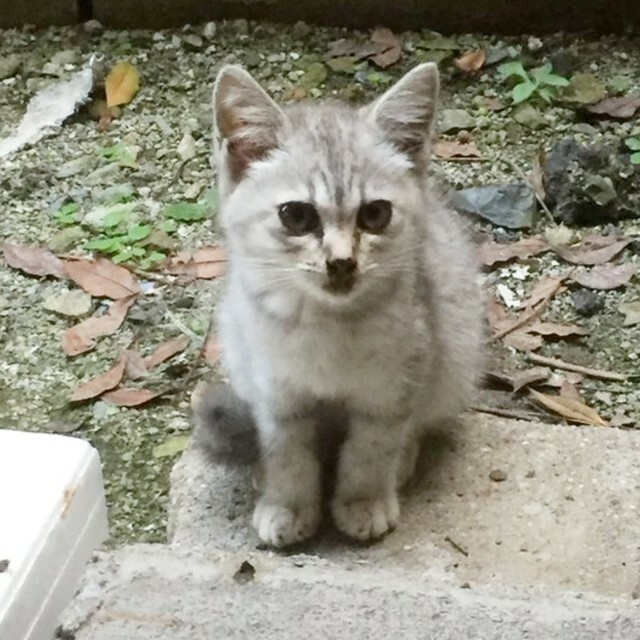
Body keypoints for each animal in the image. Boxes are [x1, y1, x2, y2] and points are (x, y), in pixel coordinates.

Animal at [194, 62, 480, 548]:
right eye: (296, 215)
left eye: (375, 214)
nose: (342, 261)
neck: (327, 325)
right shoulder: (277, 394)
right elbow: (288, 454)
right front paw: (288, 505)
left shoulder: (393, 388)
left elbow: (371, 450)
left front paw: (363, 501)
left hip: (455, 351)